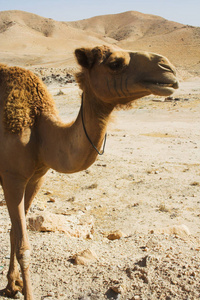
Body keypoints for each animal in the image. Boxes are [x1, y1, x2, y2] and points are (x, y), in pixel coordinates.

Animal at [0, 44, 178, 298]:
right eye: (115, 63)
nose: (168, 68)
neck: (40, 132)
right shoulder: (12, 177)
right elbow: (24, 246)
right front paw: (27, 292)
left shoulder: (36, 178)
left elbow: (15, 232)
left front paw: (13, 284)